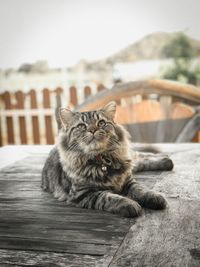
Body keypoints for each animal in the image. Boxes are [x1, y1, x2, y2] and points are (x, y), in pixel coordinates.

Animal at [41, 102, 173, 218]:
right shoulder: (84, 193)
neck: (102, 161)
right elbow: (109, 198)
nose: (92, 130)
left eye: (101, 123)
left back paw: (166, 160)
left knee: (140, 156)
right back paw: (167, 160)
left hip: (128, 160)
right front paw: (130, 204)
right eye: (81, 126)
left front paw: (154, 197)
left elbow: (140, 190)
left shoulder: (128, 180)